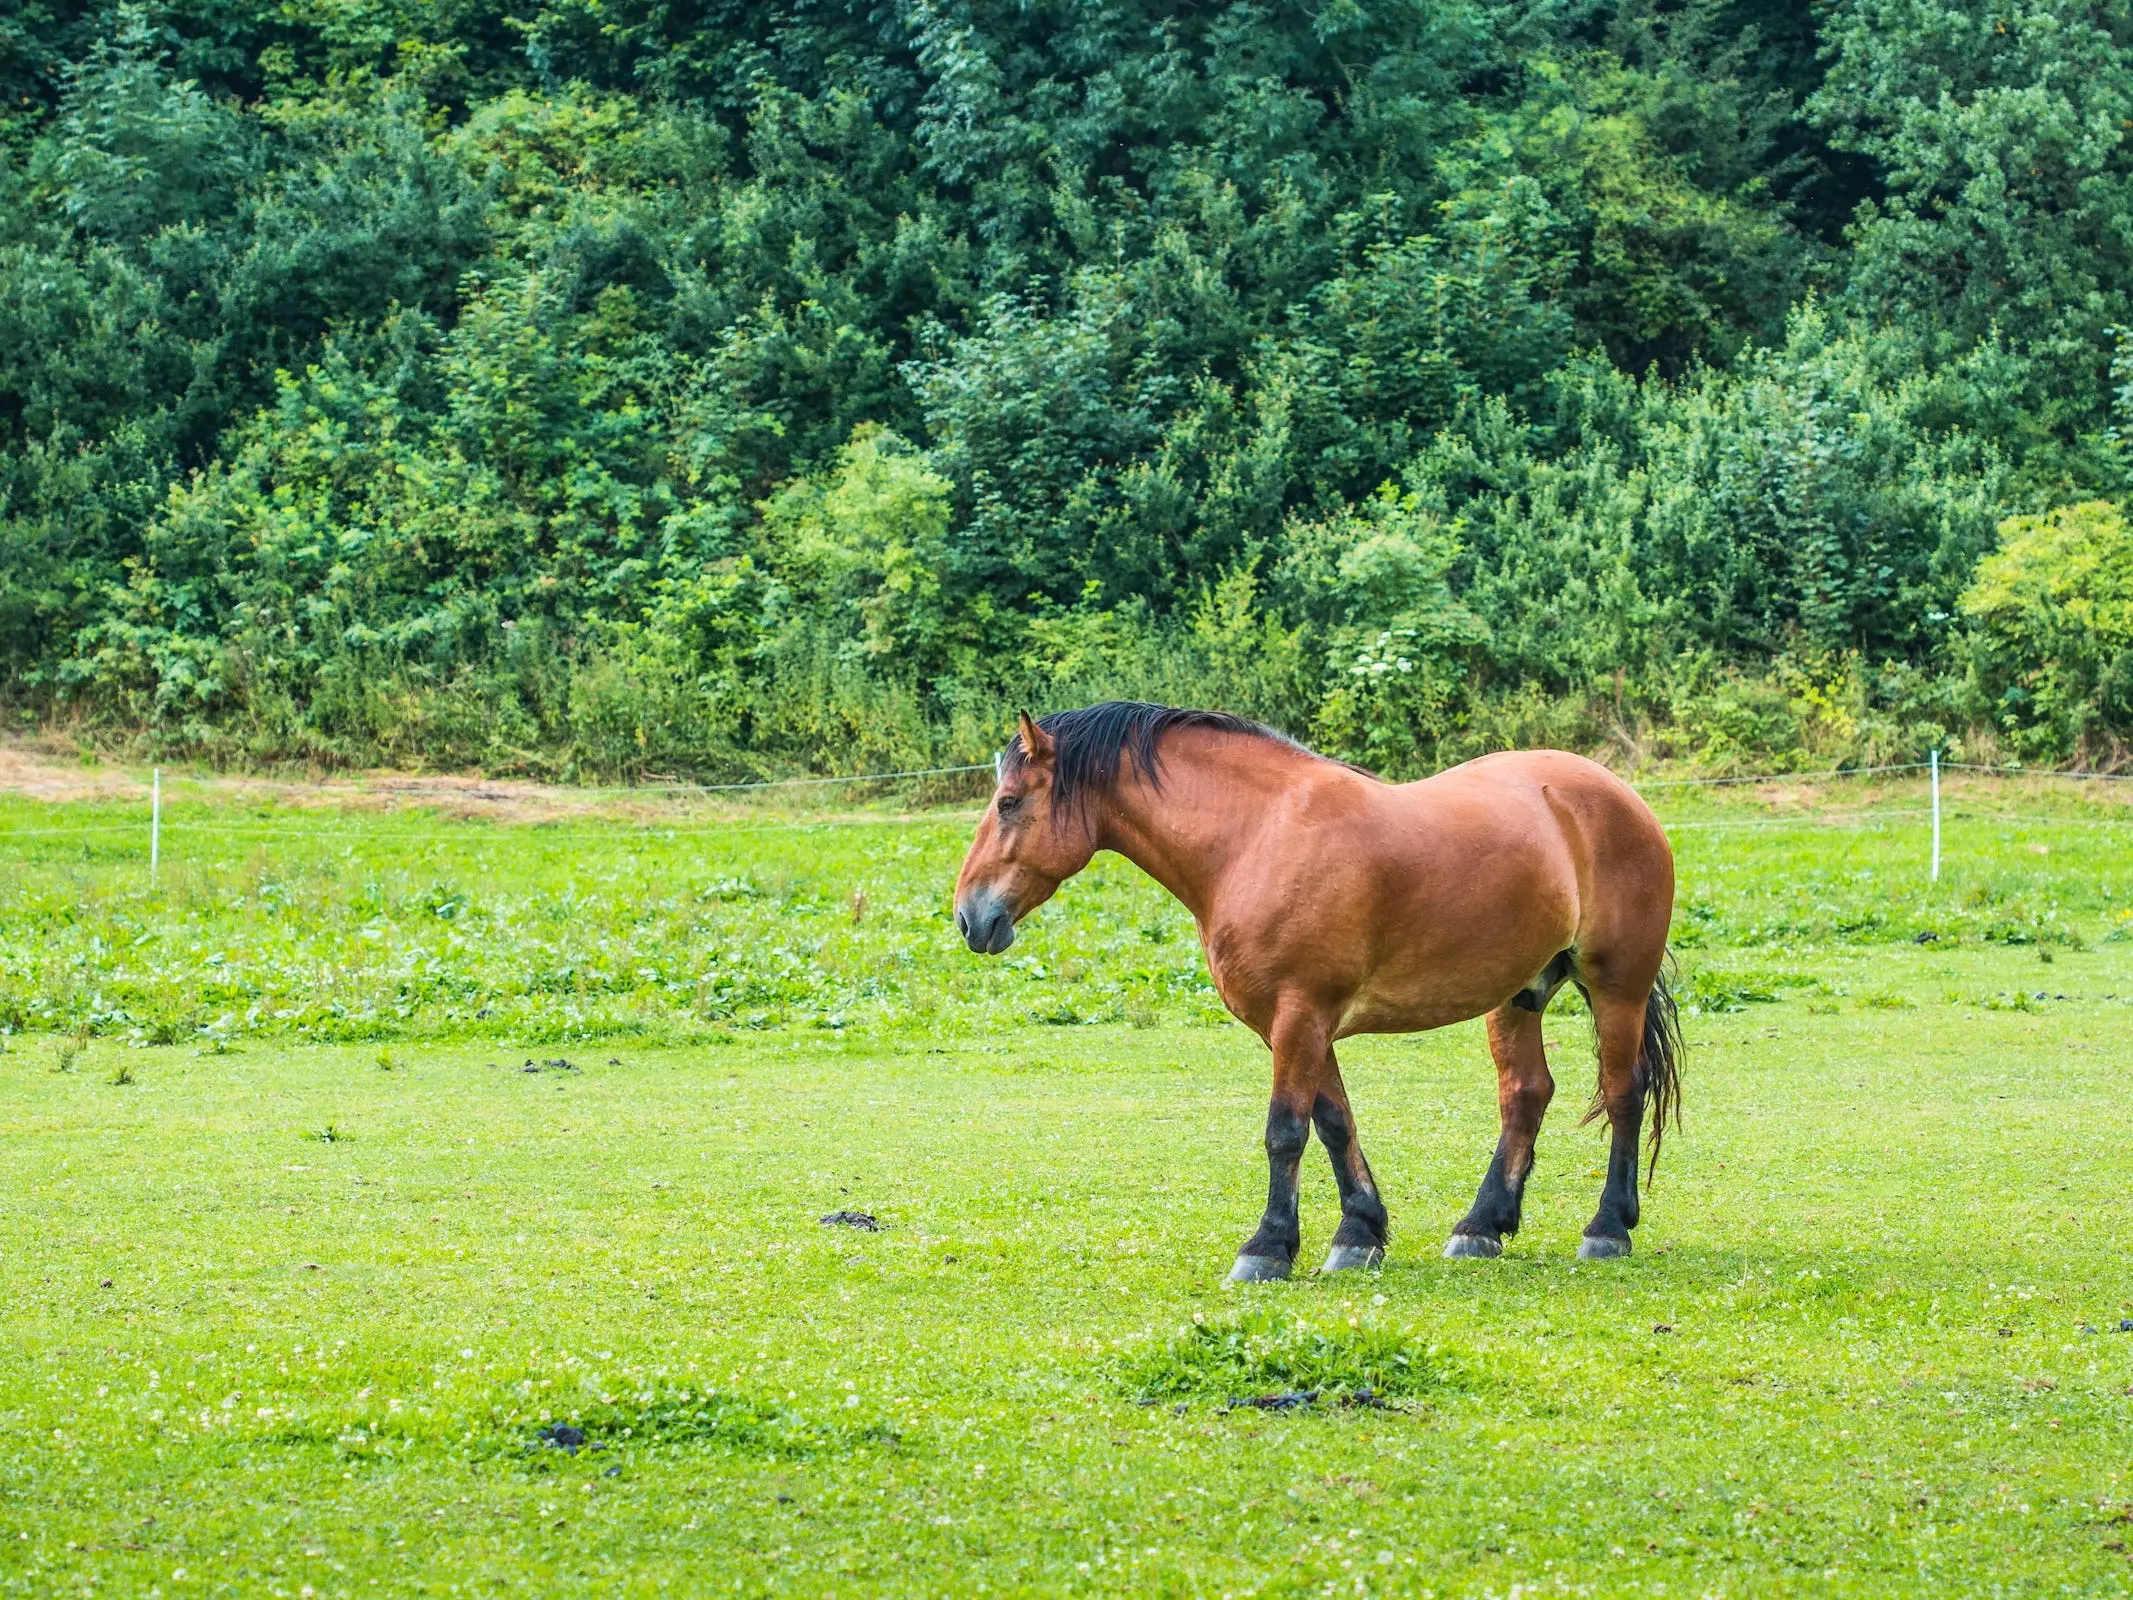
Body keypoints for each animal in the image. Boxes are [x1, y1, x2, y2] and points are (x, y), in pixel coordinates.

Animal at [955, 708, 1680, 1288]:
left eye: (1009, 803)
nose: (969, 917)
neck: (1256, 839)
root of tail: (1617, 794)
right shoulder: (1299, 1025)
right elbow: (1334, 1125)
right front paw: (1358, 1234)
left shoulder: (1300, 1017)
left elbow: (1285, 1131)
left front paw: (1268, 1248)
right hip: (1516, 996)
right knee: (1525, 1094)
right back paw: (1482, 1226)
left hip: (1616, 987)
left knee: (1624, 1091)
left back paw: (1607, 1228)